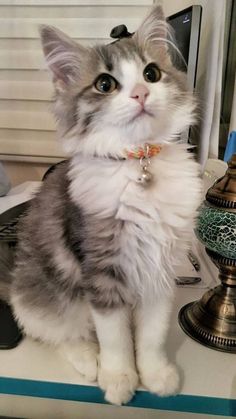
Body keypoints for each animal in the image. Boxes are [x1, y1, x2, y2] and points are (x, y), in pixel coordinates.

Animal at [0, 5, 202, 406]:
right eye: (105, 84)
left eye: (151, 74)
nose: (141, 93)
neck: (139, 162)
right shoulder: (101, 271)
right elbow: (115, 337)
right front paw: (120, 377)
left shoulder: (160, 268)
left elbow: (152, 334)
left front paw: (155, 374)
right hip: (46, 295)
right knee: (61, 332)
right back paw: (87, 359)